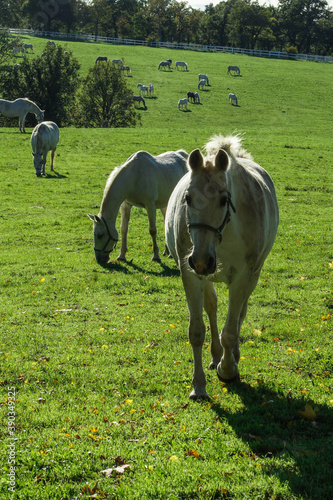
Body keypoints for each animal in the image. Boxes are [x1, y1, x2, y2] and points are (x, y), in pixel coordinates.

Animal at [165, 133, 278, 398]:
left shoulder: (242, 277)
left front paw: (228, 371)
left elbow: (230, 332)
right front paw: (198, 386)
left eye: (224, 199)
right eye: (188, 198)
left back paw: (231, 357)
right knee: (212, 307)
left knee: (240, 315)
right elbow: (196, 331)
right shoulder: (191, 275)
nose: (201, 260)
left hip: (253, 275)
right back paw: (216, 356)